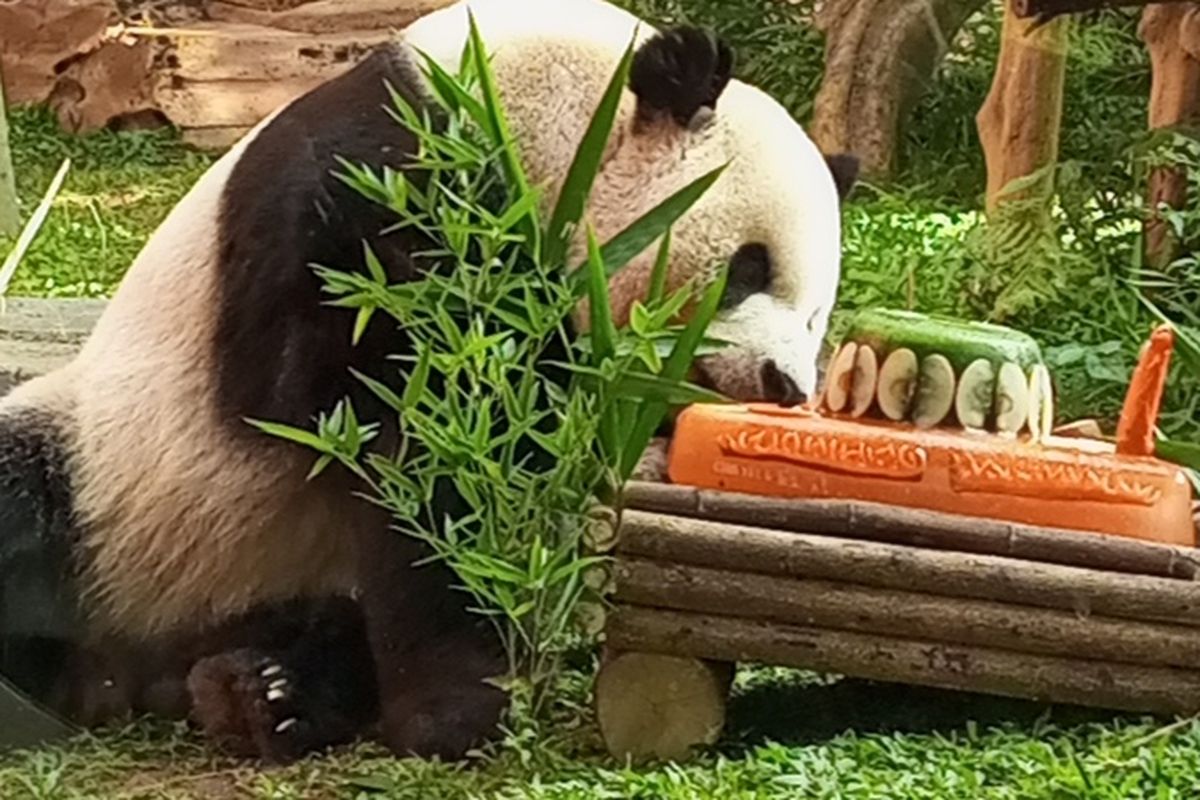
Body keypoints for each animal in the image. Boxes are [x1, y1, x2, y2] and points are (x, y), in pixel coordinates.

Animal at [0, 0, 857, 763]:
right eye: (749, 269)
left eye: (819, 315)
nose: (786, 383)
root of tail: (128, 663)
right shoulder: (372, 181)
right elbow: (337, 399)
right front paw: (457, 715)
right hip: (104, 471)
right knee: (24, 497)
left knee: (336, 629)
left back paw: (260, 693)